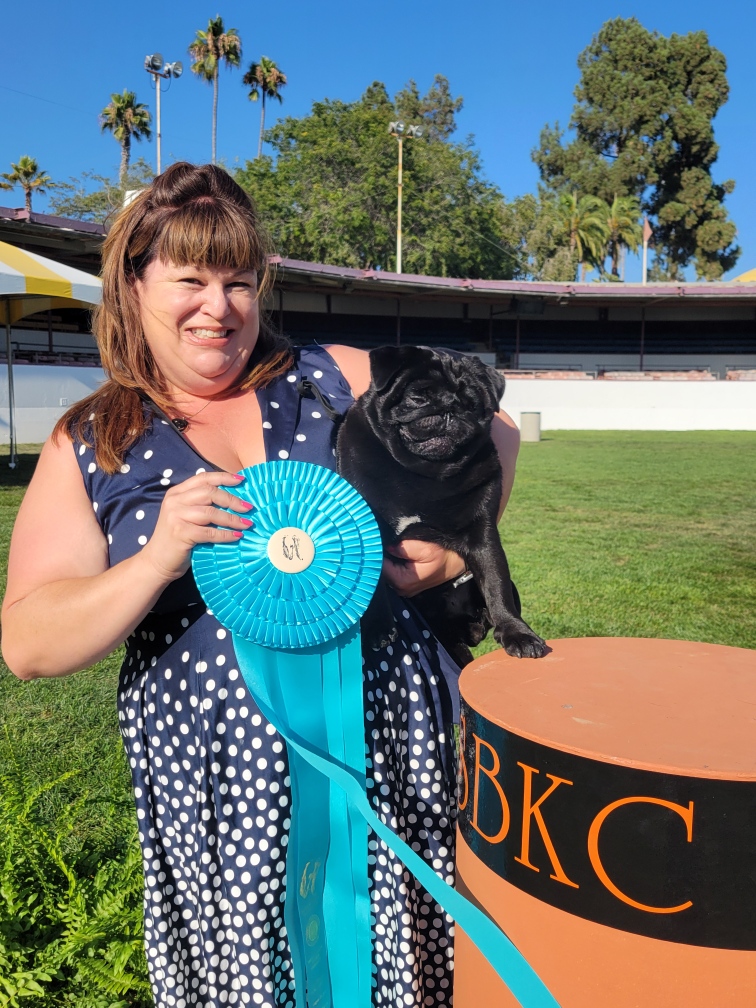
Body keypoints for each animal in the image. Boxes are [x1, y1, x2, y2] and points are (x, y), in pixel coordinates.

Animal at [336, 345, 547, 661]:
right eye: (418, 397)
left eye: (472, 405)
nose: (449, 409)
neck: (424, 473)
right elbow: (372, 586)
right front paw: (376, 628)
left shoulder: (482, 534)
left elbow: (496, 584)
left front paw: (517, 632)